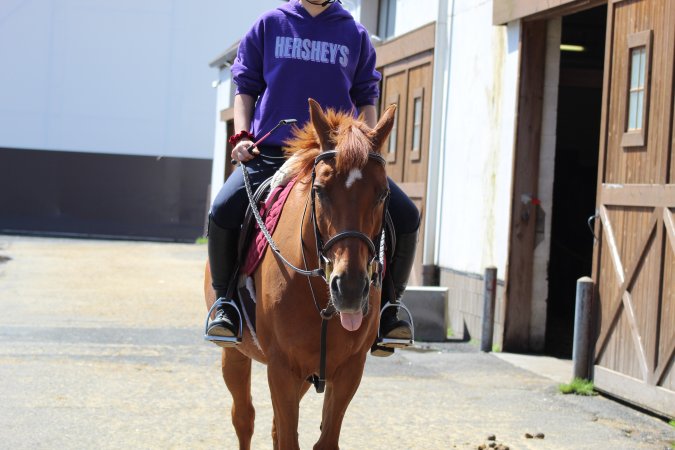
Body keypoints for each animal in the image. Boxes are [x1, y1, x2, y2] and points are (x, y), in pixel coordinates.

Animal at [205, 99, 396, 450]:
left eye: (382, 193)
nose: (350, 289)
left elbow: (323, 440)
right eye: (319, 190)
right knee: (243, 417)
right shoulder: (281, 369)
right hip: (235, 355)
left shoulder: (349, 370)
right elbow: (285, 437)